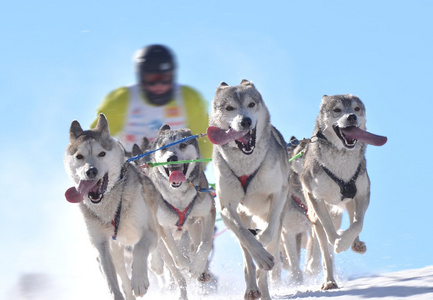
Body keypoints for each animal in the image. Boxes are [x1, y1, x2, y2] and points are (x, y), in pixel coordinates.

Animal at [63, 113, 159, 298]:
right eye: (79, 156)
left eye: (102, 153)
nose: (91, 171)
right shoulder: (101, 247)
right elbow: (112, 282)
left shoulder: (149, 232)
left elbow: (140, 248)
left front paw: (139, 280)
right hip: (116, 252)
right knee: (123, 279)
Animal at [147, 123, 216, 298]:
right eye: (164, 147)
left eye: (183, 145)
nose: (171, 158)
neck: (179, 197)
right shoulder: (162, 226)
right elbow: (174, 252)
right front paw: (184, 263)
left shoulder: (208, 213)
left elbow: (206, 243)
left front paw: (197, 266)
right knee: (175, 273)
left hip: (195, 227)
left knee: (197, 245)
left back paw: (202, 272)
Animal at [207, 80, 288, 300]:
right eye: (229, 108)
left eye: (251, 104)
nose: (245, 121)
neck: (246, 164)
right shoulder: (226, 207)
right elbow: (244, 235)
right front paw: (258, 252)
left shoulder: (278, 194)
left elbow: (267, 234)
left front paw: (261, 243)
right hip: (241, 216)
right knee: (246, 255)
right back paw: (252, 286)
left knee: (270, 247)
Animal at [298, 93, 386, 288]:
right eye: (337, 110)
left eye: (356, 109)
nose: (351, 117)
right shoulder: (315, 197)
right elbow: (329, 233)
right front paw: (339, 242)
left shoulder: (362, 194)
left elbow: (357, 224)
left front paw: (347, 241)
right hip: (315, 214)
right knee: (325, 253)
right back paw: (329, 280)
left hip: (350, 202)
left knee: (353, 222)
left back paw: (355, 244)